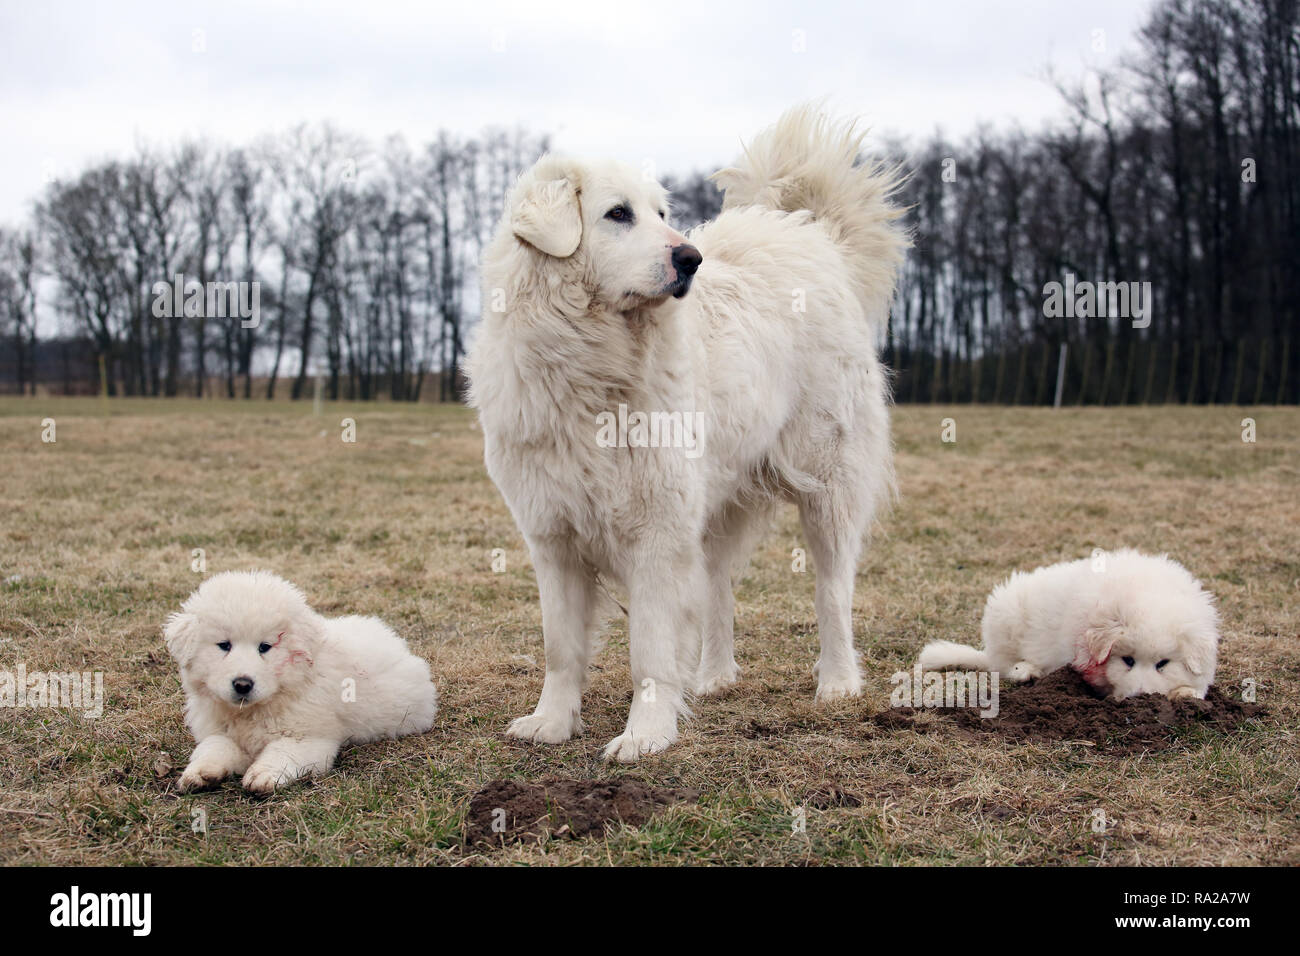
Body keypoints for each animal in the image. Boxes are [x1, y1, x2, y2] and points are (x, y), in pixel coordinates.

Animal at [161, 572, 436, 796]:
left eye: (265, 647)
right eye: (224, 645)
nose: (242, 684)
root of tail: (395, 640)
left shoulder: (308, 737)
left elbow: (283, 752)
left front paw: (263, 775)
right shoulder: (220, 730)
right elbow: (213, 747)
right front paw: (200, 773)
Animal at [467, 106, 904, 764]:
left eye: (661, 214)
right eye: (618, 214)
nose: (691, 259)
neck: (591, 367)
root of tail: (808, 235)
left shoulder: (655, 531)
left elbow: (649, 650)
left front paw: (645, 734)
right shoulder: (553, 536)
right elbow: (561, 647)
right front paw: (552, 722)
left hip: (827, 485)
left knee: (832, 590)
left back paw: (837, 682)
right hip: (714, 502)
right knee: (718, 588)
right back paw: (713, 677)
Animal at [915, 548, 1216, 697]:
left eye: (1163, 664)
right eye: (1127, 660)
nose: (1141, 698)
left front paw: (1186, 694)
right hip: (1005, 617)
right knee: (1007, 665)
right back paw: (1026, 671)